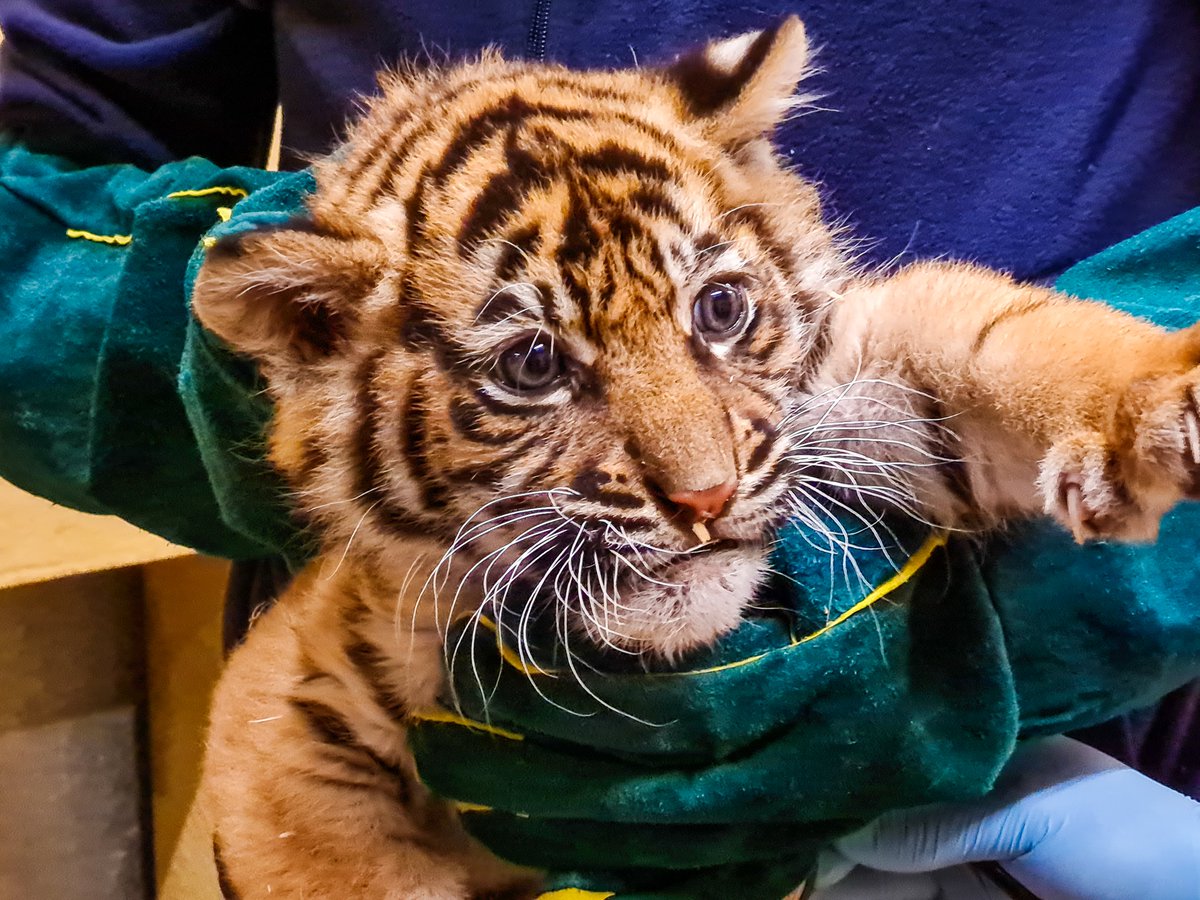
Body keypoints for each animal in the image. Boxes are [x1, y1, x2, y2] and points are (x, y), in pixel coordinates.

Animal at [190, 16, 1200, 899]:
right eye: (533, 364)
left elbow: (988, 334)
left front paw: (1162, 406)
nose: (705, 497)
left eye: (719, 310)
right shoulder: (283, 710)